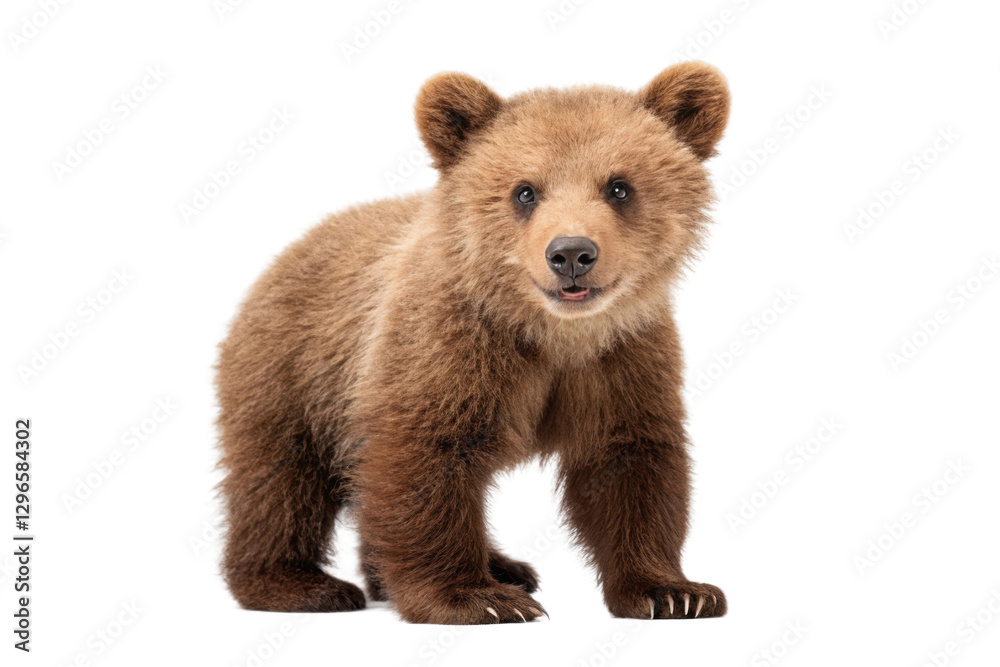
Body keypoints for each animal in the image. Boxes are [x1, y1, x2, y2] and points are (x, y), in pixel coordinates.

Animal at [216, 61, 730, 624]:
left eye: (619, 187)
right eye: (525, 191)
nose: (571, 253)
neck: (550, 334)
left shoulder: (624, 358)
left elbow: (630, 462)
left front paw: (674, 591)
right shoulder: (448, 347)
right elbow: (426, 457)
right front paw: (476, 597)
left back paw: (499, 566)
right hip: (292, 372)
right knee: (280, 482)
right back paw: (299, 584)